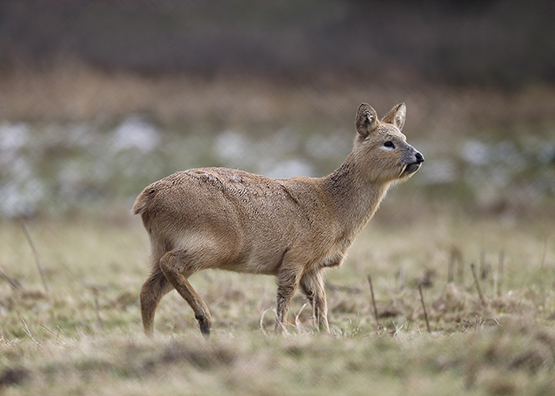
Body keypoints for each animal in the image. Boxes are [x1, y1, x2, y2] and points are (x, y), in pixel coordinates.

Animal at [132, 102, 424, 338]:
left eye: (404, 136)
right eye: (388, 143)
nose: (419, 156)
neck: (334, 208)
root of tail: (147, 197)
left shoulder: (312, 266)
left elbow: (320, 300)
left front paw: (325, 334)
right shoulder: (296, 255)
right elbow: (286, 295)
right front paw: (279, 333)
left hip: (164, 243)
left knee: (149, 289)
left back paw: (151, 337)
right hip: (215, 241)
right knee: (170, 265)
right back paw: (205, 320)